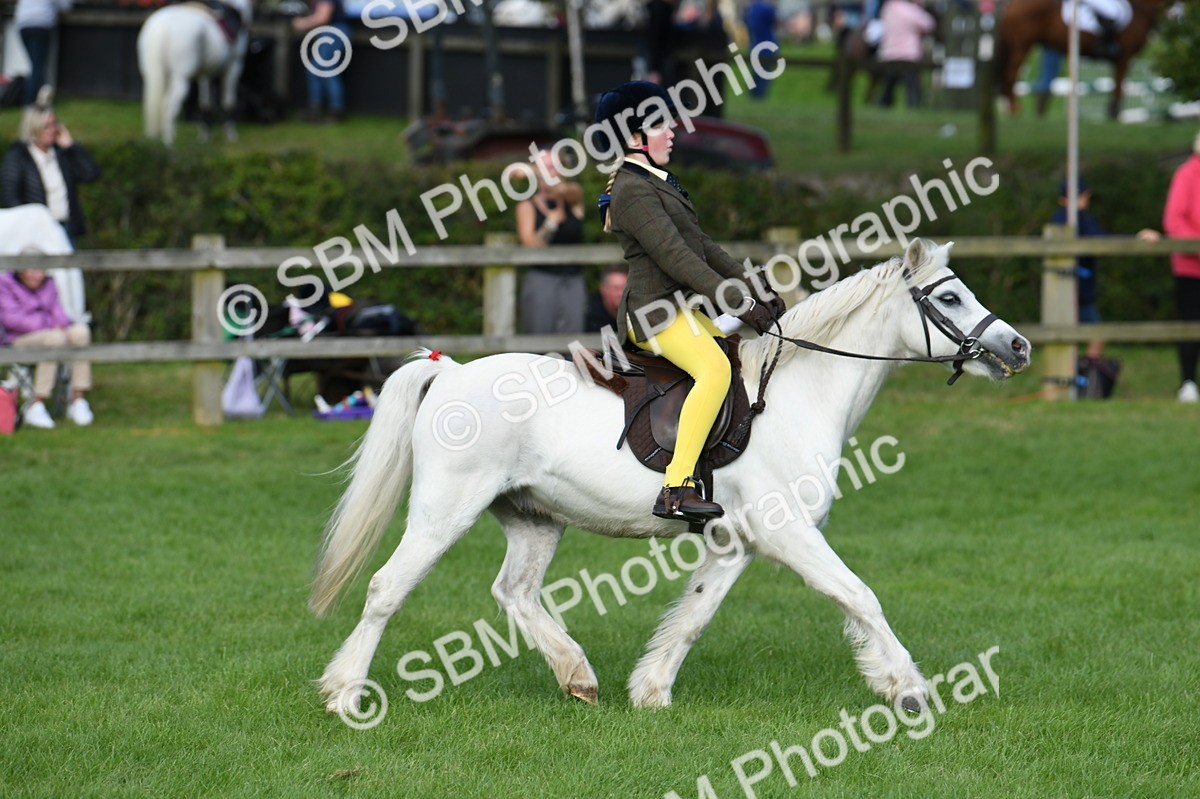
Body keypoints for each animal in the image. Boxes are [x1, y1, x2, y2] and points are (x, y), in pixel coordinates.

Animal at [137, 0, 252, 146]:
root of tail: (162, 28)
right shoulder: (234, 66)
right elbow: (228, 102)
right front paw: (230, 134)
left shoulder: (206, 73)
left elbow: (206, 103)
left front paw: (205, 135)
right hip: (181, 79)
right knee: (169, 106)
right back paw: (169, 141)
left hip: (154, 75)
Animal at [309, 239, 1031, 715]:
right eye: (949, 296)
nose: (1018, 346)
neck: (798, 393)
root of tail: (452, 371)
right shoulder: (790, 532)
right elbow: (860, 596)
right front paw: (907, 688)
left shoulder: (737, 542)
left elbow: (693, 615)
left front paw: (651, 691)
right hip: (443, 511)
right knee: (386, 588)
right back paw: (345, 694)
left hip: (533, 517)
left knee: (515, 592)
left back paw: (578, 676)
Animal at [997, 0, 1167, 120]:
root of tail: (1011, 5)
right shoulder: (1124, 55)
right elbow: (1119, 84)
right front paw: (1114, 114)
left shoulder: (1120, 58)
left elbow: (1116, 83)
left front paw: (1112, 112)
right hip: (1022, 46)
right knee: (1010, 76)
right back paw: (1015, 110)